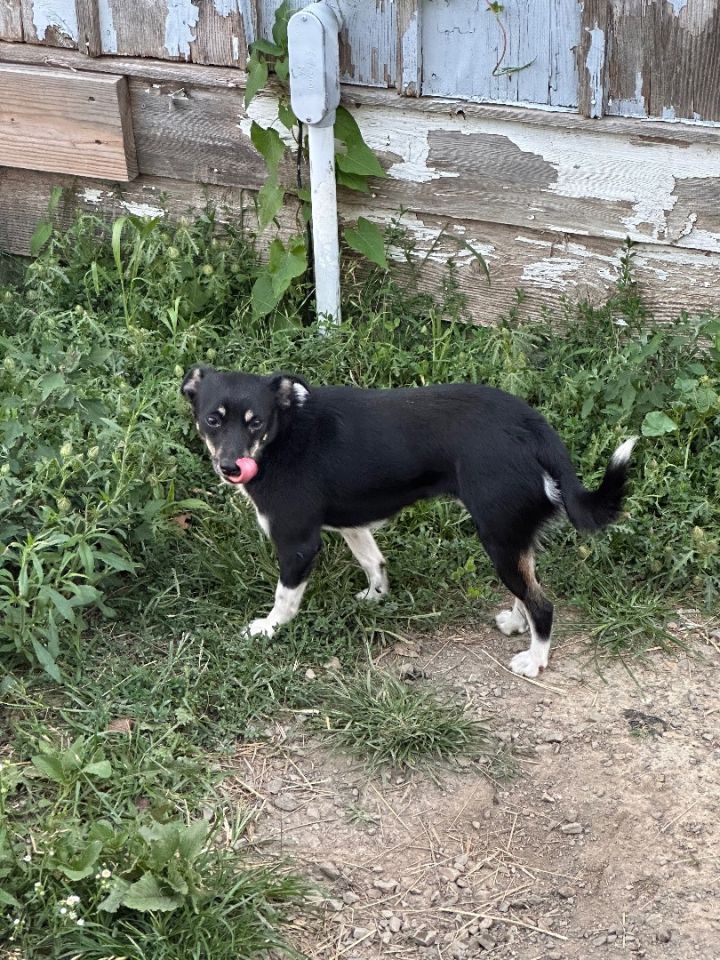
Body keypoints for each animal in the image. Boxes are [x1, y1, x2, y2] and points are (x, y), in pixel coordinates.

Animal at [181, 366, 636, 676]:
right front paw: (376, 596)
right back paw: (516, 621)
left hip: (498, 538)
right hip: (512, 536)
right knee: (528, 589)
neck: (283, 432)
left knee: (542, 604)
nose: (230, 468)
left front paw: (269, 629)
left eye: (255, 421)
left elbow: (284, 597)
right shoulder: (353, 524)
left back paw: (535, 659)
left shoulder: (296, 543)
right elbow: (373, 561)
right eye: (213, 419)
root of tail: (533, 425)